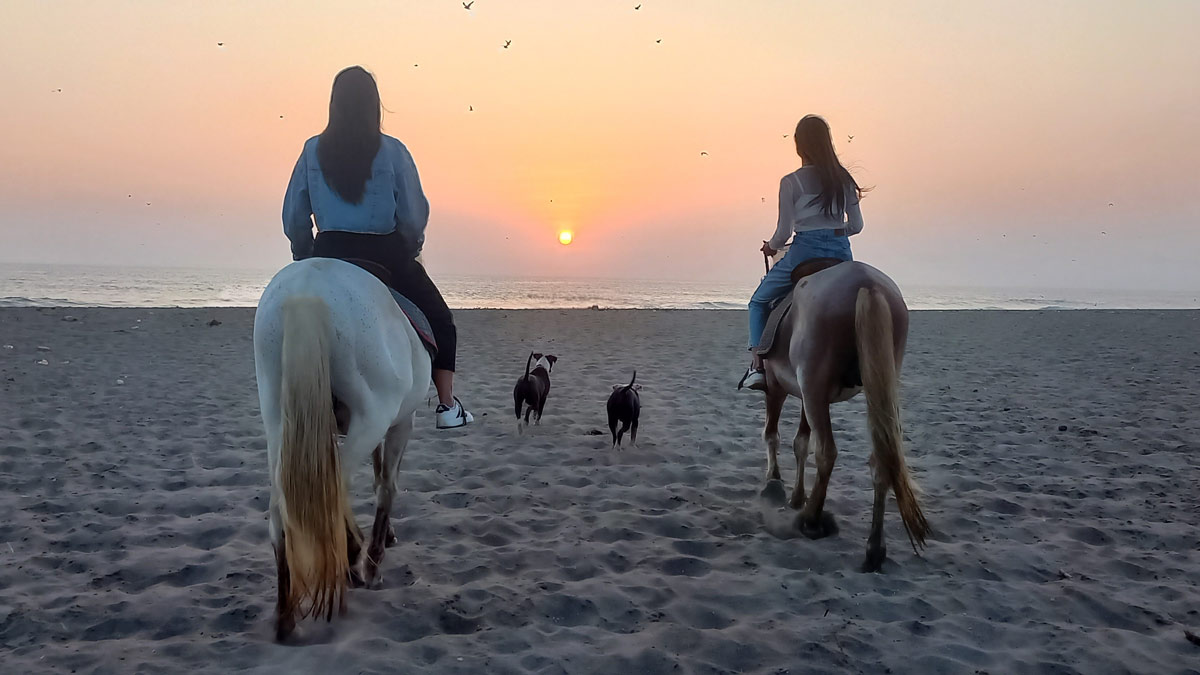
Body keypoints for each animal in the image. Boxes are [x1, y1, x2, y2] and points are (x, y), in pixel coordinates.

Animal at [253, 254, 432, 638]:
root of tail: (307, 288)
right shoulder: (400, 423)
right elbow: (386, 486)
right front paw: (374, 560)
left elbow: (378, 474)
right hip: (371, 417)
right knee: (335, 492)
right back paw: (354, 561)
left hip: (278, 418)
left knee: (284, 509)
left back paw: (285, 616)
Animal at [758, 257, 926, 566]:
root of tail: (867, 284)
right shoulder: (807, 396)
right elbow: (801, 443)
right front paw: (796, 496)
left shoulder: (779, 387)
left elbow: (773, 434)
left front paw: (774, 484)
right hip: (879, 387)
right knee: (881, 457)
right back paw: (874, 548)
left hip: (814, 387)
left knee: (827, 452)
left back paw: (811, 521)